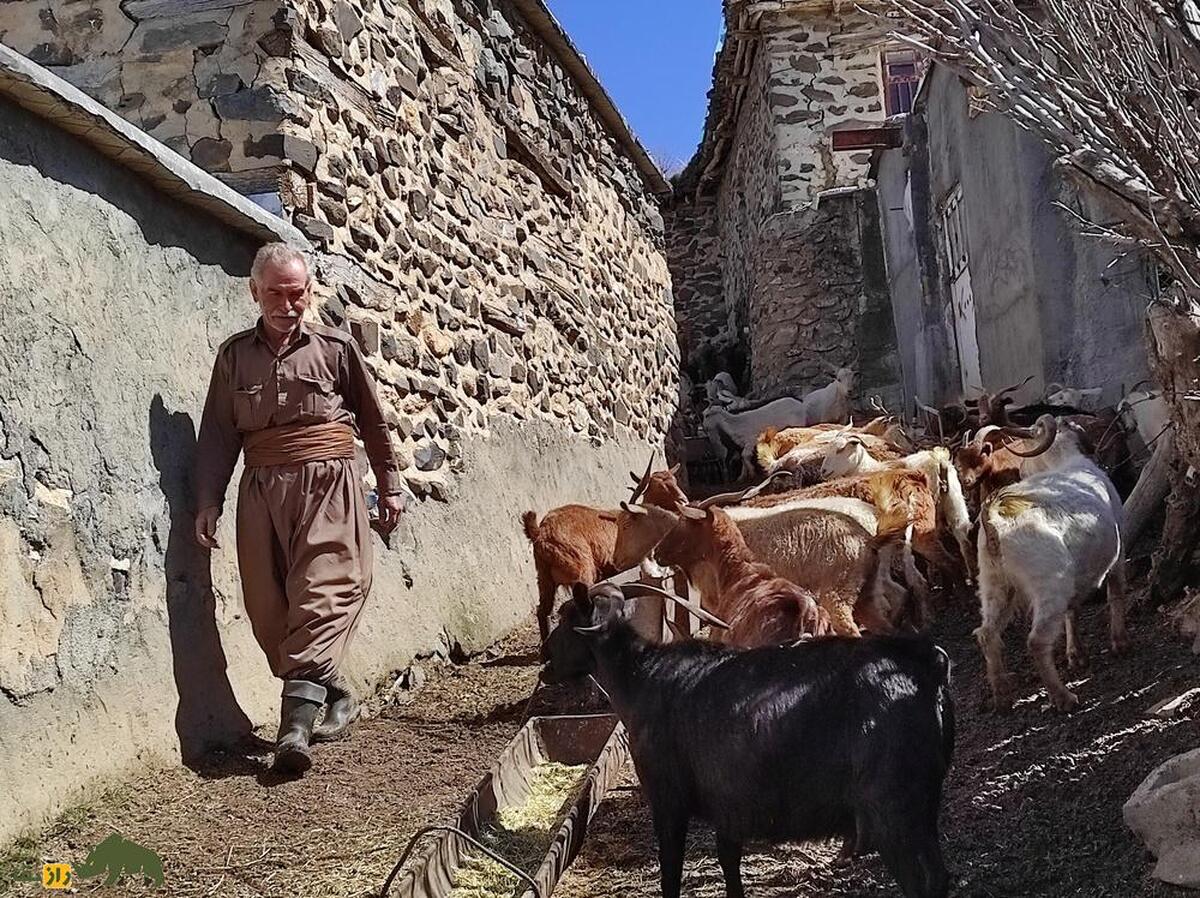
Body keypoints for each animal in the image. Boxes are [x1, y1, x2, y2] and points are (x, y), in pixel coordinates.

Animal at [544, 583, 955, 897]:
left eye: (566, 618)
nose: (545, 660)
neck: (641, 677)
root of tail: (927, 665)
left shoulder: (668, 801)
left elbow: (671, 875)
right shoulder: (730, 806)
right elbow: (729, 865)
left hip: (894, 811)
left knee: (922, 883)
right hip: (922, 806)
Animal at [969, 415, 1128, 715]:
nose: (1020, 469)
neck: (1067, 461)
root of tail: (993, 519)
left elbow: (1072, 612)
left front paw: (1077, 656)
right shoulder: (1117, 557)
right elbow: (1115, 594)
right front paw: (1120, 643)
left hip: (995, 584)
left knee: (987, 634)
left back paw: (1002, 696)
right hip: (1049, 583)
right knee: (1037, 641)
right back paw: (1063, 697)